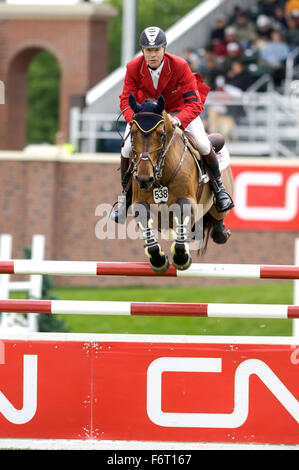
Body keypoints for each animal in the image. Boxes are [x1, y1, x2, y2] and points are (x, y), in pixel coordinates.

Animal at [125, 92, 233, 274]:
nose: (144, 179)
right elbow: (148, 229)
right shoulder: (140, 202)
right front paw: (159, 260)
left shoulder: (187, 200)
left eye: (161, 134)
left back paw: (221, 227)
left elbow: (183, 213)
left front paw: (182, 258)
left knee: (219, 215)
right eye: (132, 134)